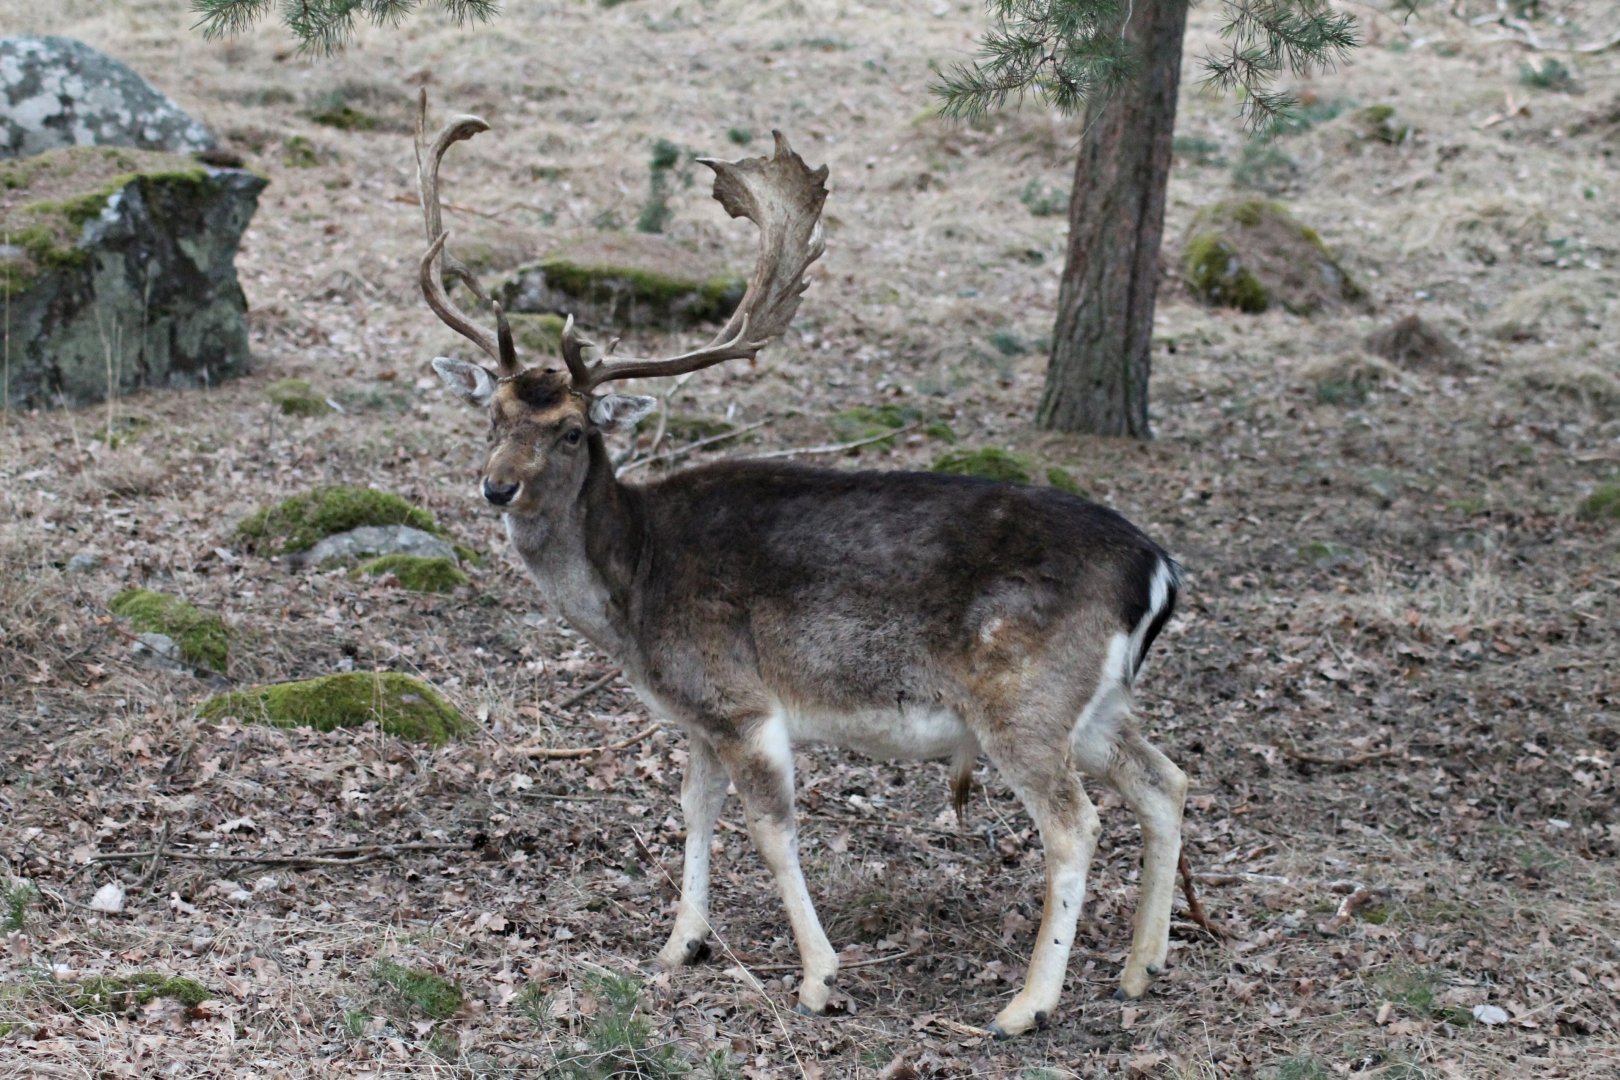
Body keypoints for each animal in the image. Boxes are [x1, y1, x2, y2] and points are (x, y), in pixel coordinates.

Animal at [416, 96, 1187, 1038]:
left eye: (571, 430)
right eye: (492, 414)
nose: (498, 486)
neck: (633, 590)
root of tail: (1157, 571)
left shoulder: (743, 701)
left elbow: (772, 830)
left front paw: (819, 977)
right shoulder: (695, 710)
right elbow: (693, 808)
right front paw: (680, 944)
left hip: (1026, 698)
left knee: (1075, 824)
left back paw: (1027, 1004)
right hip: (1098, 703)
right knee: (1165, 781)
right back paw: (1142, 966)